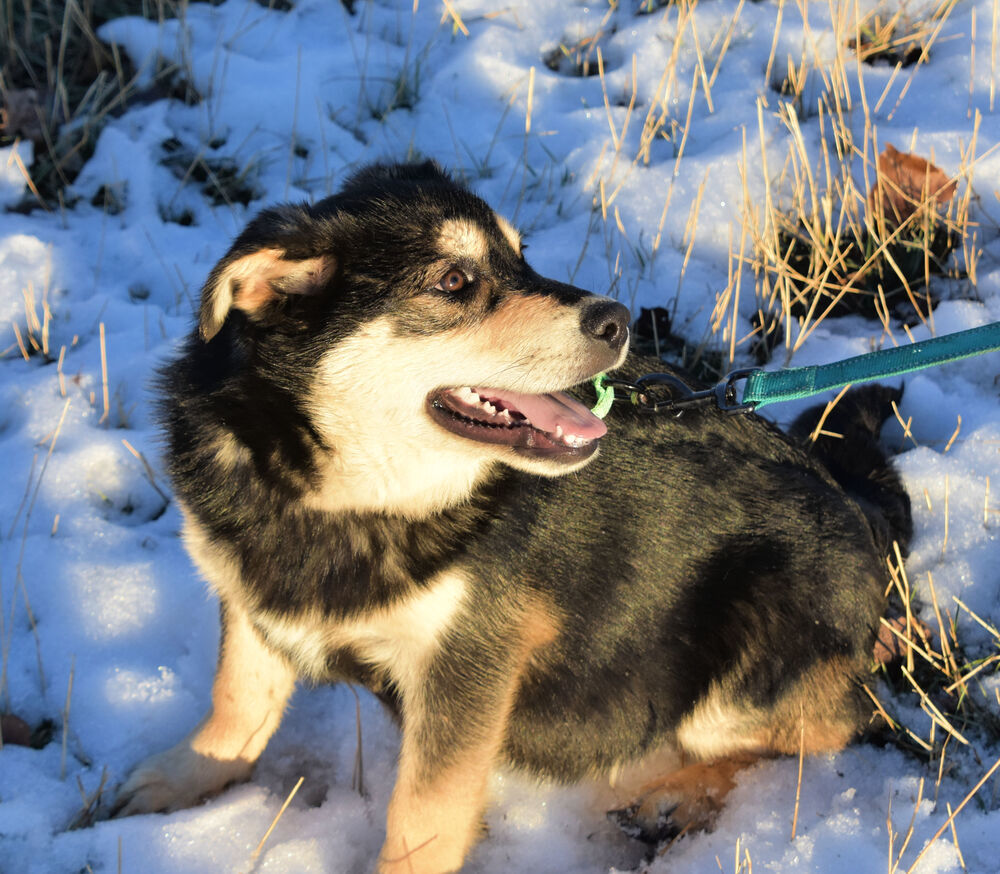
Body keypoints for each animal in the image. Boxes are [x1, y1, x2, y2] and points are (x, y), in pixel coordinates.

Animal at [113, 160, 912, 868]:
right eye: (454, 281)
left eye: (522, 258)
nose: (618, 320)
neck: (350, 498)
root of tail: (860, 511)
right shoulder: (252, 596)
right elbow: (236, 704)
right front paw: (182, 777)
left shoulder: (469, 664)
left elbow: (424, 814)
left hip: (755, 642)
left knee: (837, 726)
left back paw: (673, 795)